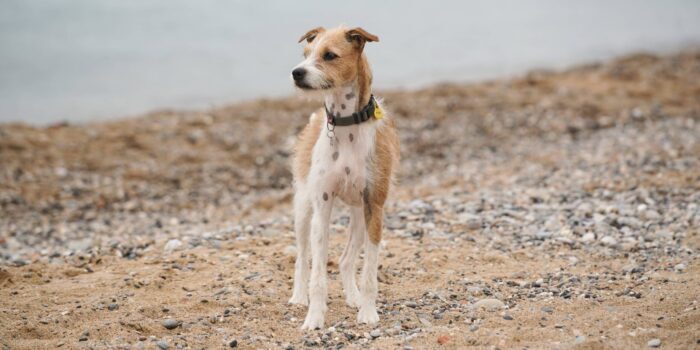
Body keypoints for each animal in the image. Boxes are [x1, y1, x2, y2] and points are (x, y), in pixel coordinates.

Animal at [288, 26, 400, 330]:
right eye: (305, 53)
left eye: (329, 55)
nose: (297, 72)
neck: (347, 125)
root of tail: (317, 116)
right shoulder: (322, 207)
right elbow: (317, 275)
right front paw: (314, 317)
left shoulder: (375, 207)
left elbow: (370, 271)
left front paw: (368, 311)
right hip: (304, 209)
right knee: (302, 257)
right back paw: (298, 297)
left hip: (359, 217)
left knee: (346, 260)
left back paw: (354, 297)